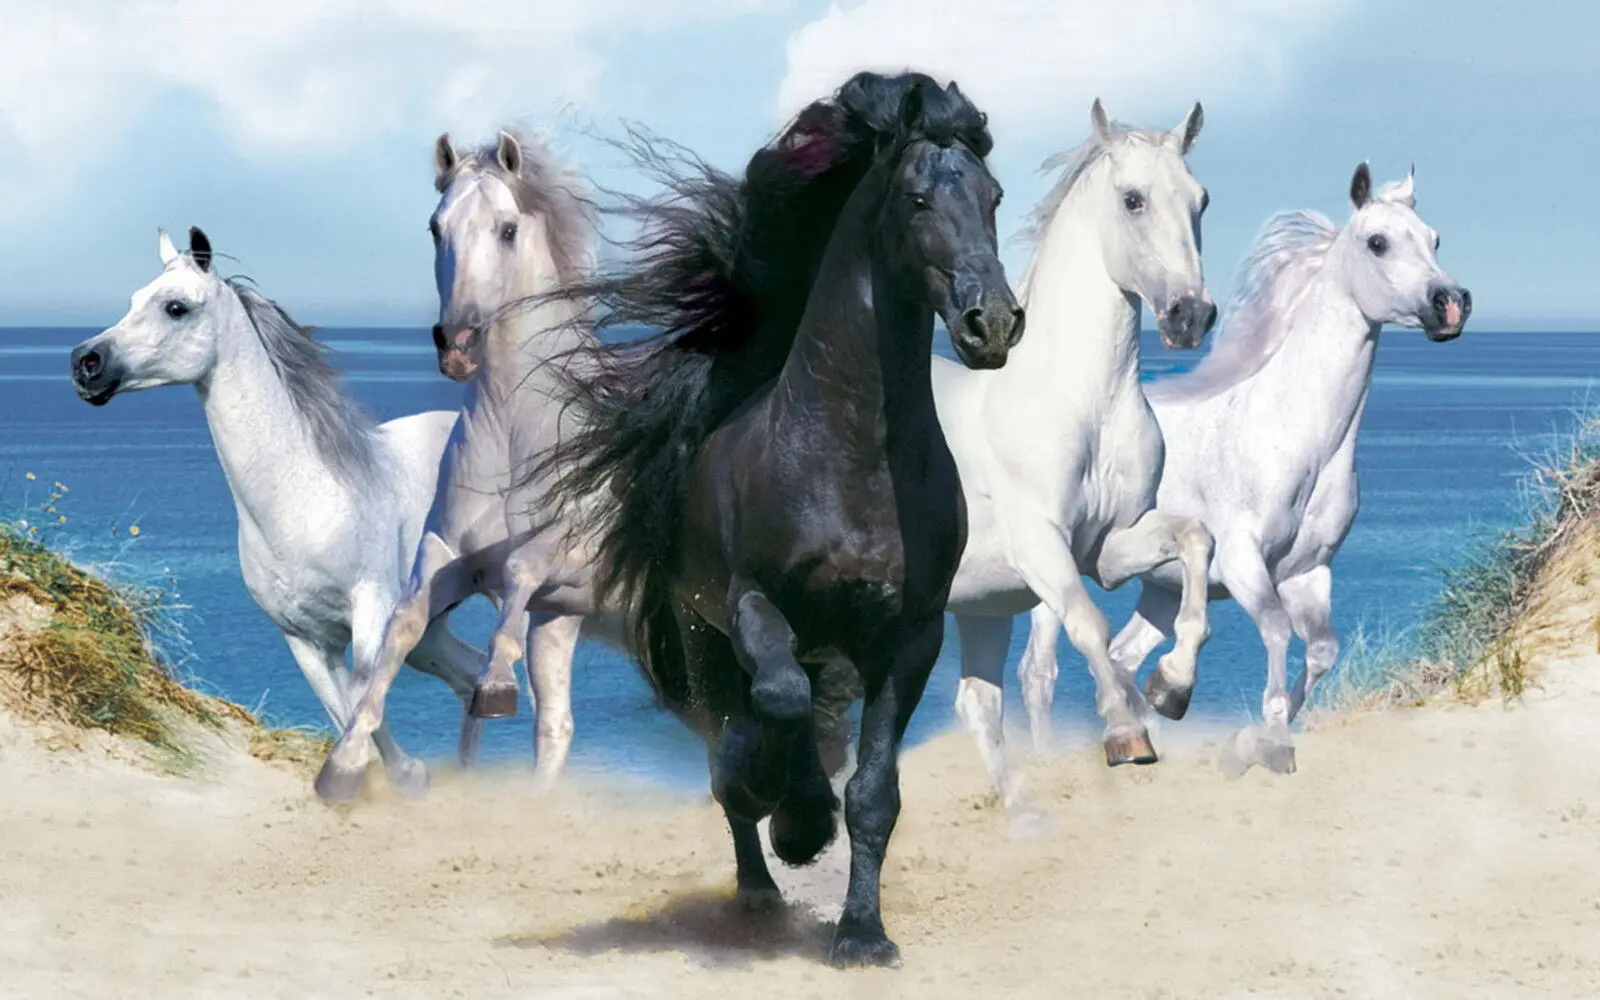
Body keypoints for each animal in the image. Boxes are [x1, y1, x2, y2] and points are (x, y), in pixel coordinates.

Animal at [66, 227, 487, 791]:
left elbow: (365, 705)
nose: (86, 363)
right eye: (134, 299)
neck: (303, 498)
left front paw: (406, 776)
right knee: (475, 676)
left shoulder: (371, 615)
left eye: (175, 307)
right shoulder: (305, 641)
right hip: (431, 628)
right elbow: (347, 713)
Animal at [313, 127, 627, 802]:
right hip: (564, 626)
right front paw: (343, 765)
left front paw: (496, 684)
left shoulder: (569, 551)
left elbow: (521, 565)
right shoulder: (452, 556)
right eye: (436, 227)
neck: (515, 435)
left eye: (506, 229)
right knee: (557, 726)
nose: (457, 345)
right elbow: (403, 624)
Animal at [534, 71, 1023, 967]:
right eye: (916, 198)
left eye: (993, 196)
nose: (994, 321)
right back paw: (762, 875)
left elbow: (873, 793)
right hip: (705, 635)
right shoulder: (754, 605)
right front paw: (791, 816)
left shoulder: (911, 636)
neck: (854, 458)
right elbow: (779, 704)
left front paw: (862, 933)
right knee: (740, 732)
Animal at [938, 99, 1217, 817]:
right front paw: (1125, 734)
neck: (1081, 403)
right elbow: (1088, 623)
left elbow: (1195, 540)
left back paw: (1024, 813)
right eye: (1132, 199)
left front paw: (1173, 687)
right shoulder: (1041, 545)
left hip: (978, 609)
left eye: (1201, 199)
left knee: (976, 704)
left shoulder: (1110, 546)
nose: (1190, 316)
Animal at [1021, 162, 1472, 776]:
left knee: (1121, 653)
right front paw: (1264, 736)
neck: (1298, 438)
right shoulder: (1242, 562)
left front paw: (1254, 725)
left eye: (1435, 239)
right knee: (1039, 669)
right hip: (1056, 575)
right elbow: (1278, 631)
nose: (1450, 303)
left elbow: (1322, 651)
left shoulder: (1310, 573)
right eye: (1377, 242)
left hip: (1158, 588)